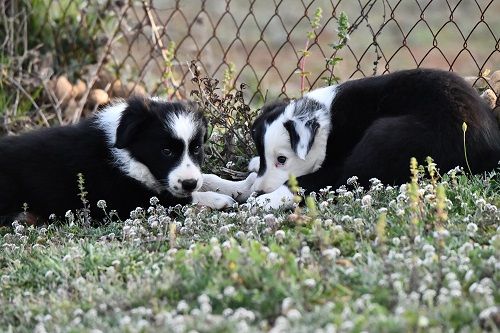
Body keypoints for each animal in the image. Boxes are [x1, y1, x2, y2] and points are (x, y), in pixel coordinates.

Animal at [250, 68, 500, 208]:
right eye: (263, 156)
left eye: (282, 160)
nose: (259, 190)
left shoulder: (336, 164)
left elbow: (310, 181)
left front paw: (264, 200)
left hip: (383, 136)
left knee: (345, 182)